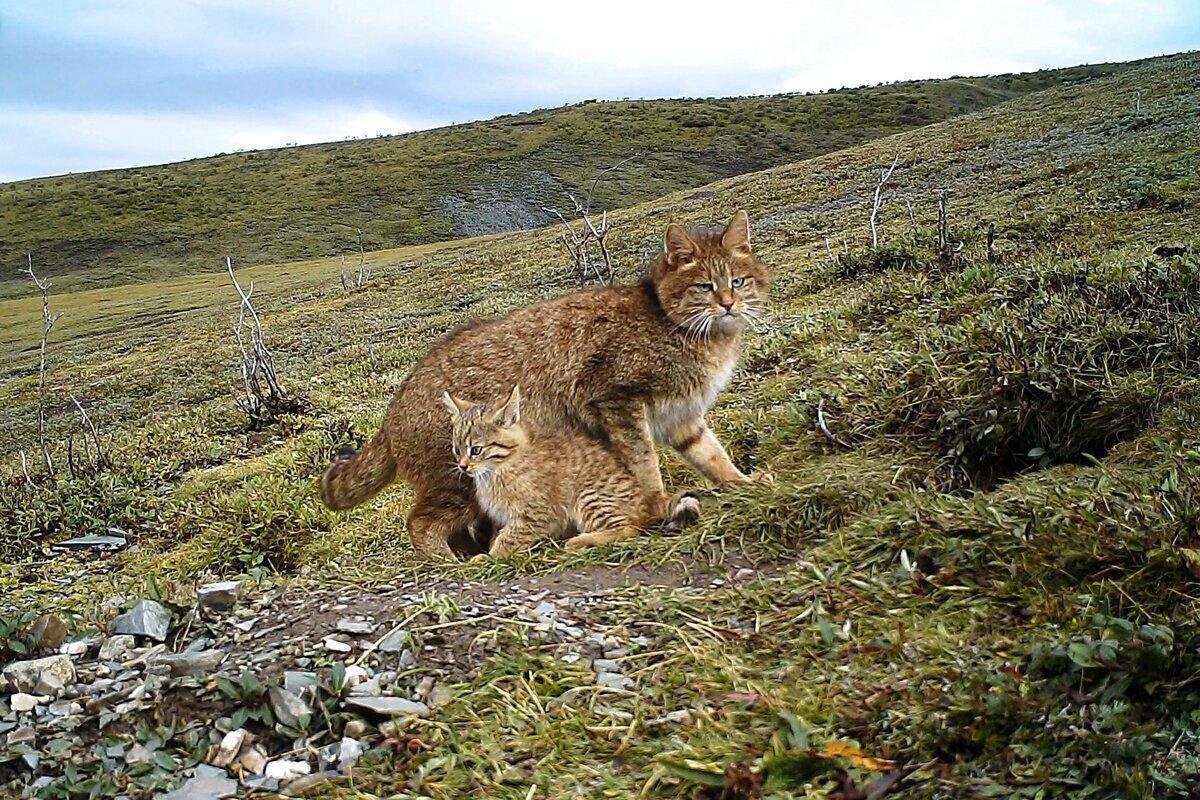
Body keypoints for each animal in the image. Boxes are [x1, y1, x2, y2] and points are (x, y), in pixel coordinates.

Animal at [446, 386, 700, 561]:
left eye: (476, 450)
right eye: (457, 450)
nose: (463, 466)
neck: (498, 469)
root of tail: (647, 500)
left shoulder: (537, 514)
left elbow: (509, 538)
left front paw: (490, 557)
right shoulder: (502, 518)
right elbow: (497, 535)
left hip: (590, 496)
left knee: (630, 528)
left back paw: (581, 541)